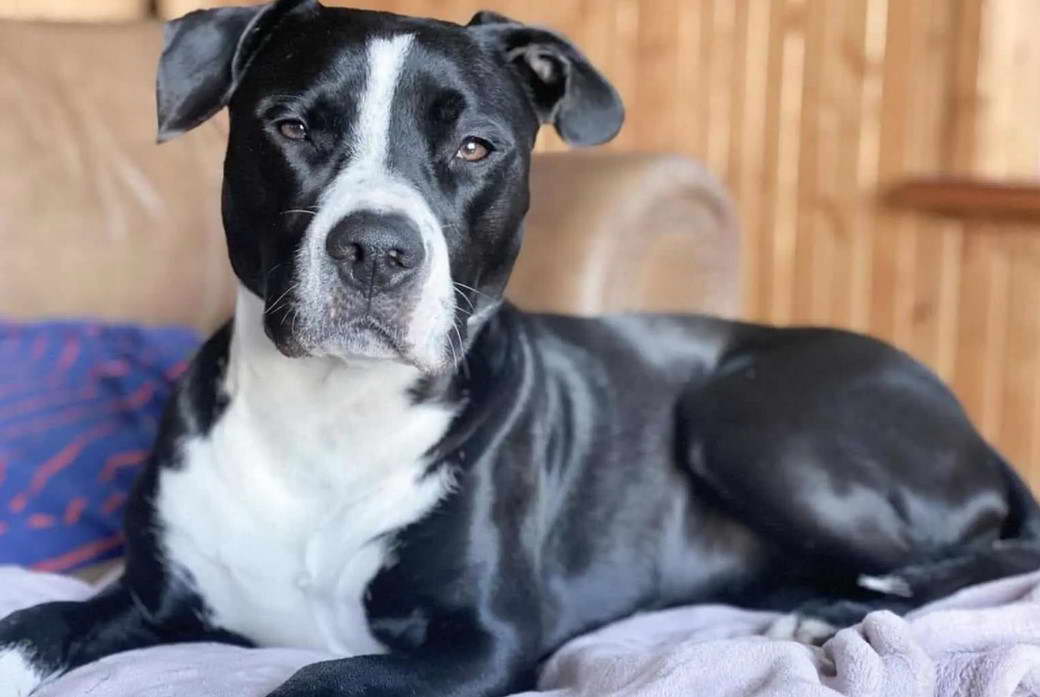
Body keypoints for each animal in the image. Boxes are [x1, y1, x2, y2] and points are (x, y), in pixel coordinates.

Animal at [2, 1, 1040, 697]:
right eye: (293, 126)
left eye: (474, 146)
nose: (376, 249)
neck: (331, 414)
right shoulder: (144, 598)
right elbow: (34, 621)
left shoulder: (484, 641)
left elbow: (316, 676)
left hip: (751, 419)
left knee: (984, 552)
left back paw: (835, 605)